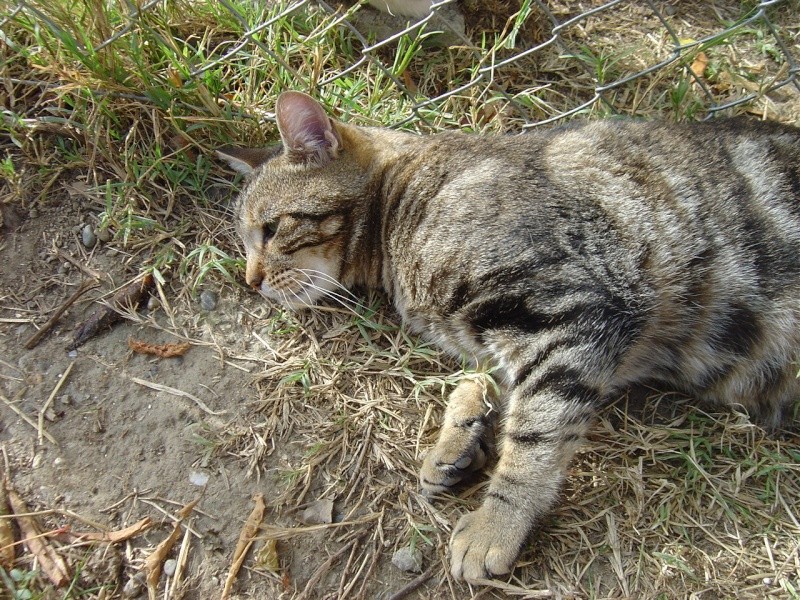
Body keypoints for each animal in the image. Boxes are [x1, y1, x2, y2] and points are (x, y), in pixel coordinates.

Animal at [219, 92, 800, 580]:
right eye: (244, 241)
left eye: (271, 229)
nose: (250, 280)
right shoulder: (516, 337)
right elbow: (482, 381)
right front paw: (458, 436)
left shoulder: (578, 311)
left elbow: (535, 434)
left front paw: (496, 523)